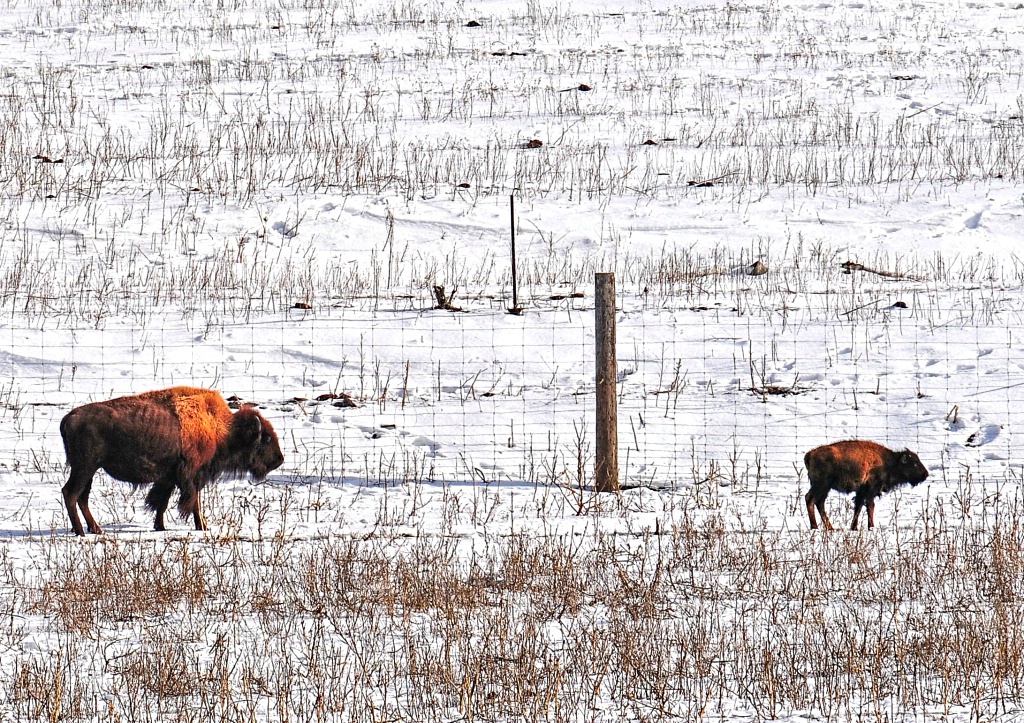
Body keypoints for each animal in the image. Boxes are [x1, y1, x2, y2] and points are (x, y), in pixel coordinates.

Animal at [59, 385, 284, 532]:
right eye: (265, 438)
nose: (279, 460)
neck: (220, 428)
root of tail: (69, 418)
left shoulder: (168, 478)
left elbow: (162, 502)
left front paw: (160, 526)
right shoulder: (192, 476)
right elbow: (193, 502)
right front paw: (202, 527)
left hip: (89, 469)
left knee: (82, 497)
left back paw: (95, 529)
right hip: (85, 467)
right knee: (71, 493)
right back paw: (81, 531)